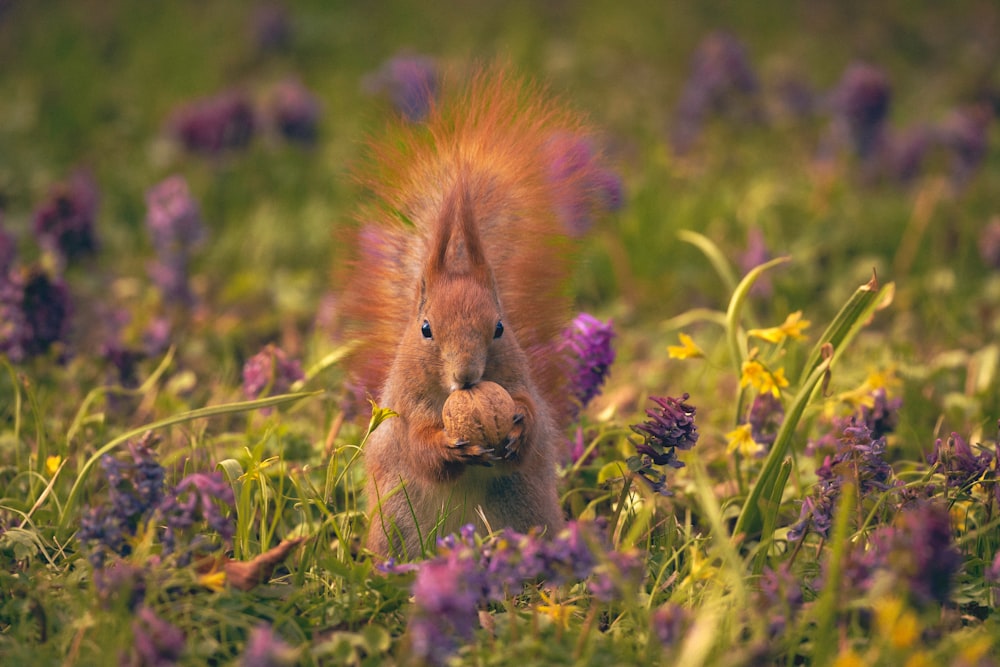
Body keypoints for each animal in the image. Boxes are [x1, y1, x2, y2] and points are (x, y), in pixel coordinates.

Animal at [338, 66, 608, 560]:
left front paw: (519, 425)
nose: (466, 376)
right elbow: (419, 449)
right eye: (425, 329)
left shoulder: (520, 383)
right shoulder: (403, 410)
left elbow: (534, 426)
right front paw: (448, 444)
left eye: (500, 327)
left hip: (527, 512)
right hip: (394, 525)